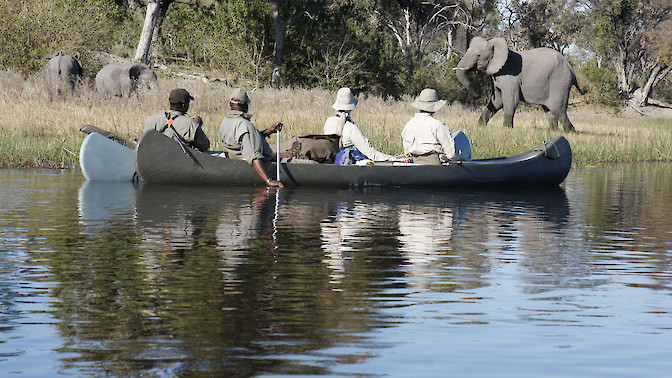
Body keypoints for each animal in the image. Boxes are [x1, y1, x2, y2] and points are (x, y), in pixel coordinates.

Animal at [456, 37, 584, 131]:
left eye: (478, 55)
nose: (477, 94)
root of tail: (571, 69)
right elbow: (496, 102)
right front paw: (479, 126)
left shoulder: (510, 77)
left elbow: (510, 101)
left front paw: (507, 129)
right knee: (549, 110)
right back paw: (553, 132)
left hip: (560, 82)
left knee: (559, 110)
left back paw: (571, 132)